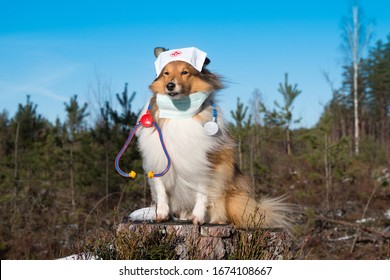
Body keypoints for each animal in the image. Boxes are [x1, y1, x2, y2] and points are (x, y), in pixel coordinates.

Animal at [136, 46, 290, 230]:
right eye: (166, 73)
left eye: (185, 72)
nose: (170, 86)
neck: (180, 112)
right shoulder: (157, 156)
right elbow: (161, 190)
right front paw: (162, 214)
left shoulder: (206, 161)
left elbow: (203, 192)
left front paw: (198, 217)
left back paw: (215, 219)